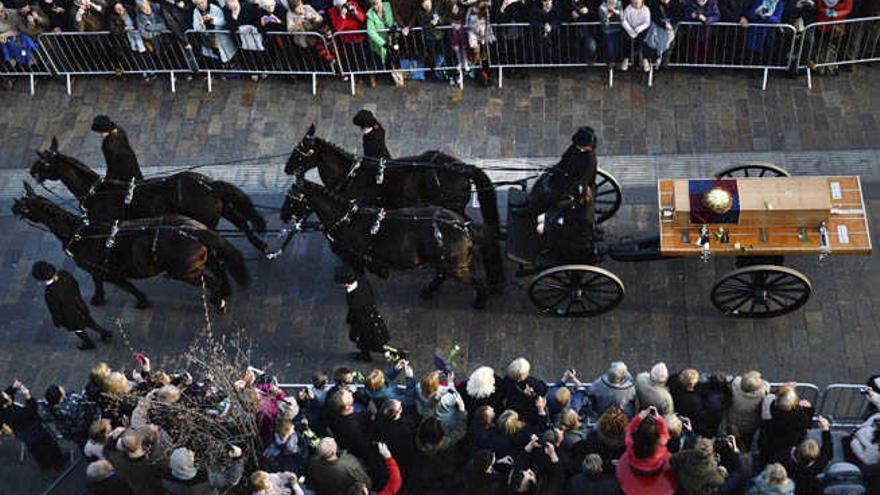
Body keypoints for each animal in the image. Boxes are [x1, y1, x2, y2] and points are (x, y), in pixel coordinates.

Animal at [12, 184, 249, 312]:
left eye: (25, 205)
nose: (13, 209)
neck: (82, 233)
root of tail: (192, 229)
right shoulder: (103, 271)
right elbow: (107, 283)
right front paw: (100, 298)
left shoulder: (105, 271)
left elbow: (124, 286)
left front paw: (139, 300)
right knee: (218, 268)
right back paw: (223, 292)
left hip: (186, 272)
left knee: (211, 280)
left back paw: (218, 300)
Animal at [31, 139, 272, 256]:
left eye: (44, 162)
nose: (32, 172)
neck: (98, 192)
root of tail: (208, 185)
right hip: (222, 210)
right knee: (242, 222)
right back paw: (262, 247)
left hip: (208, 220)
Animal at [280, 178, 492, 308]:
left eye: (292, 199)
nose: (282, 215)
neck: (347, 220)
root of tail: (463, 226)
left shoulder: (353, 258)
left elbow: (360, 279)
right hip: (445, 262)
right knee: (442, 275)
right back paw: (428, 291)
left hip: (456, 266)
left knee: (477, 280)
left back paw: (480, 302)